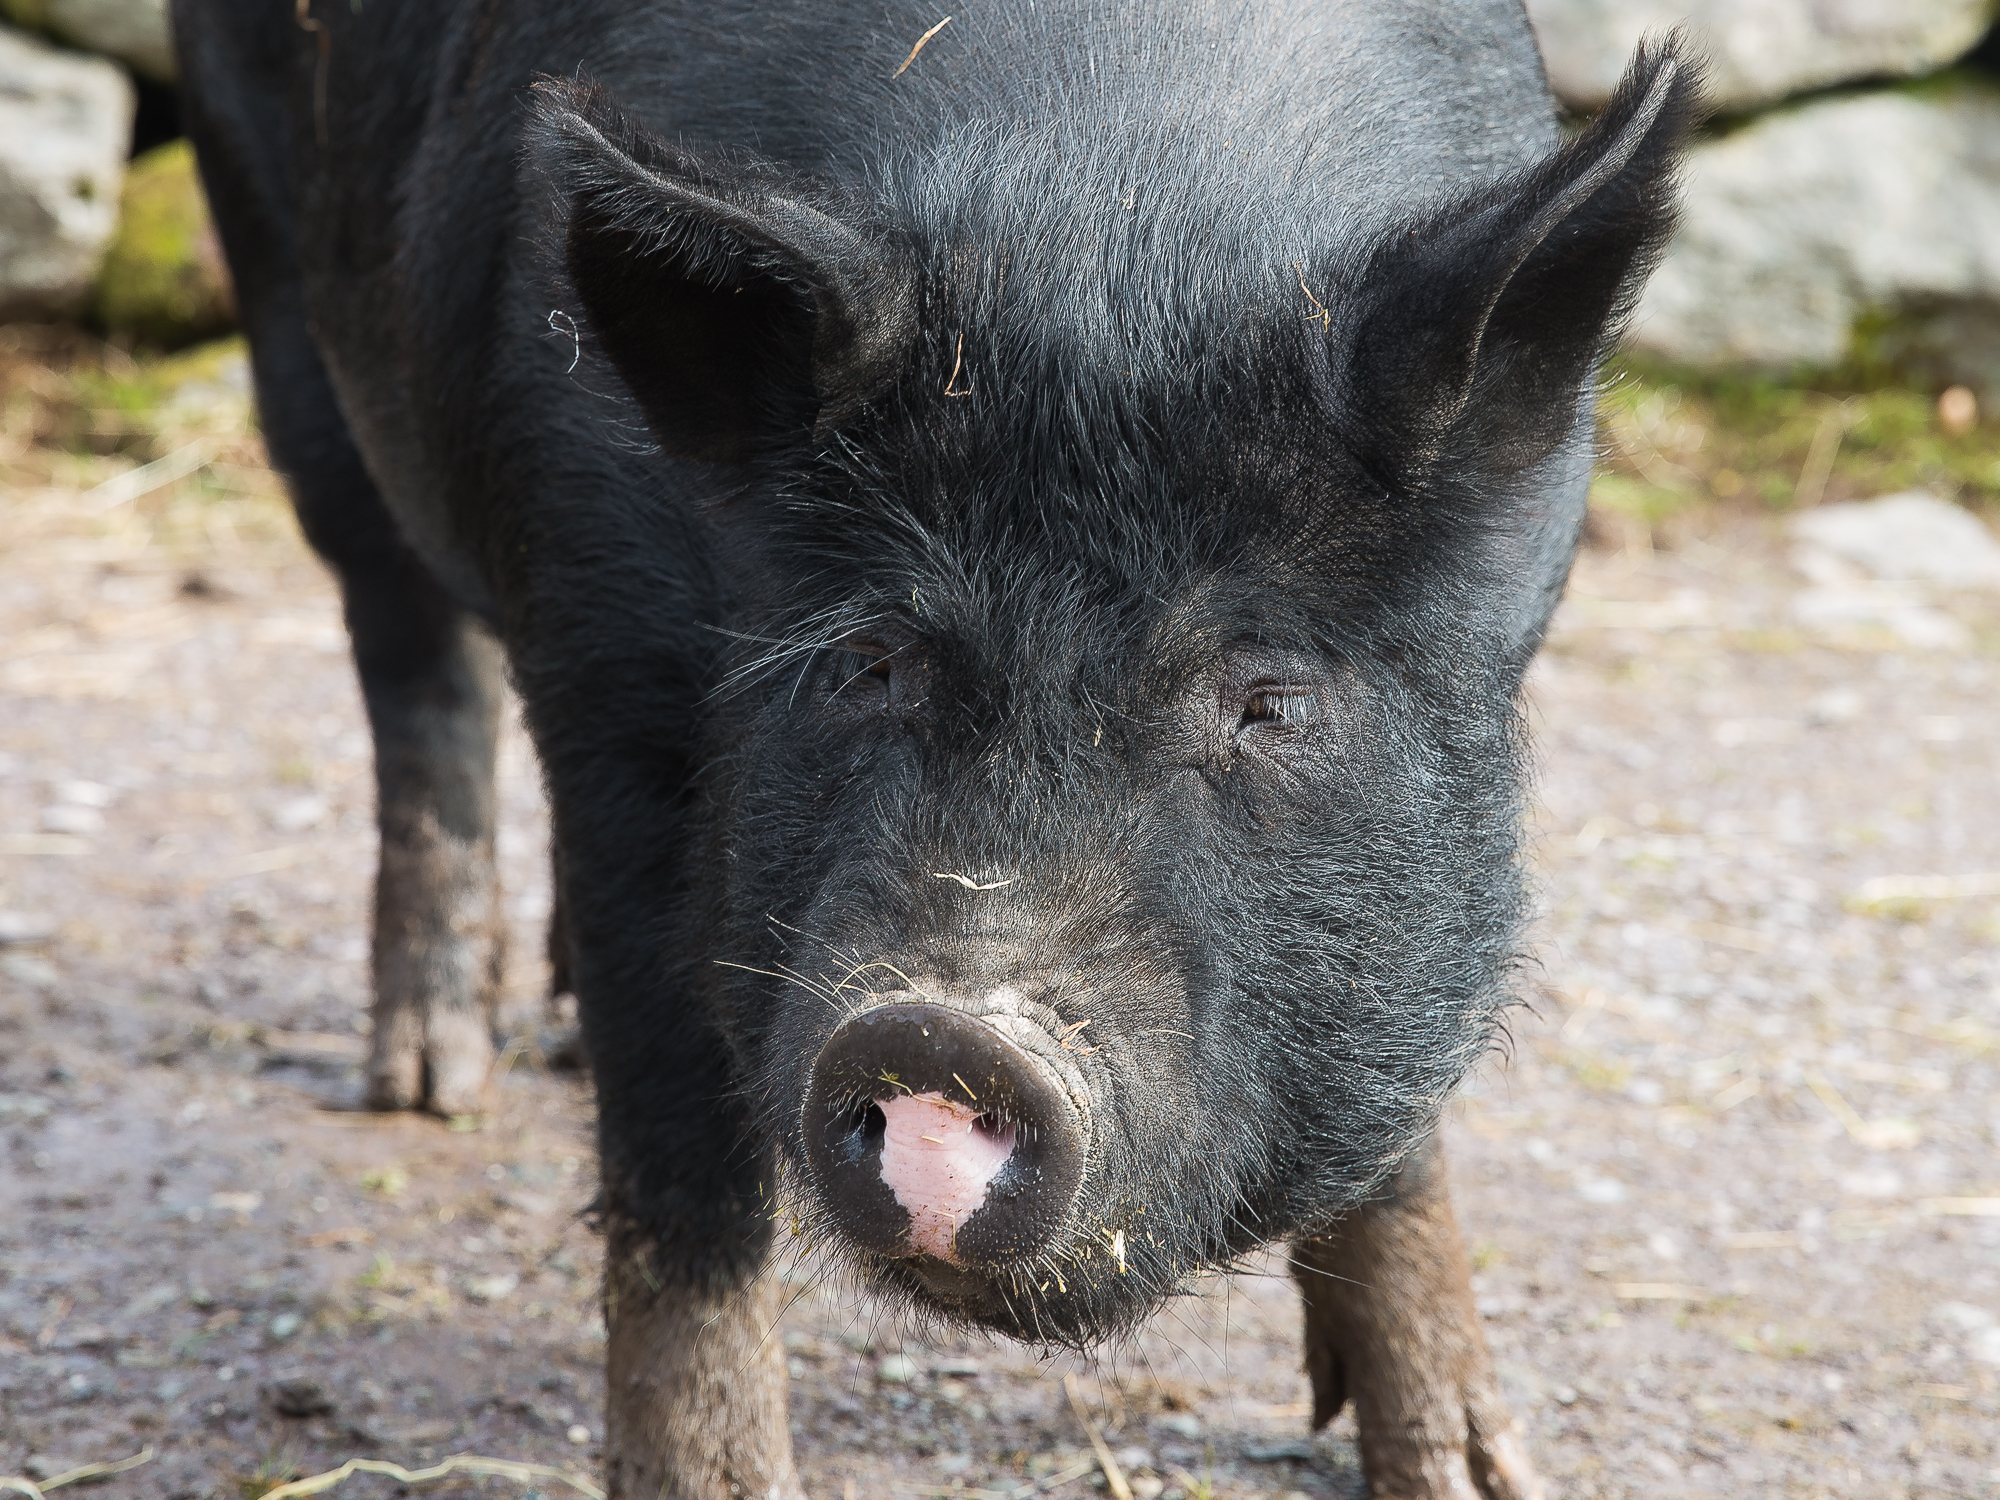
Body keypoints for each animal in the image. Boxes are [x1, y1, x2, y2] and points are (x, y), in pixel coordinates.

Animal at [173, 0, 1700, 1494]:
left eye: (1267, 698)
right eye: (868, 660)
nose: (944, 1035)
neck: (1113, 209)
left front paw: (1475, 1474)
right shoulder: (601, 657)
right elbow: (678, 1187)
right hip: (273, 273)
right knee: (407, 649)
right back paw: (431, 1082)